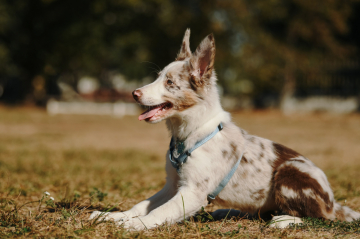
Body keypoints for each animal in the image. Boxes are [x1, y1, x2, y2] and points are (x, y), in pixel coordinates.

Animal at [90, 29, 360, 230]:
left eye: (169, 83)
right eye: (157, 77)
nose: (134, 93)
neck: (189, 132)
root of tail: (333, 202)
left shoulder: (193, 191)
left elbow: (159, 212)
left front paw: (132, 225)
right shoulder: (172, 184)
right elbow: (142, 205)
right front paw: (113, 216)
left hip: (291, 170)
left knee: (320, 217)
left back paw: (284, 219)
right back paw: (226, 211)